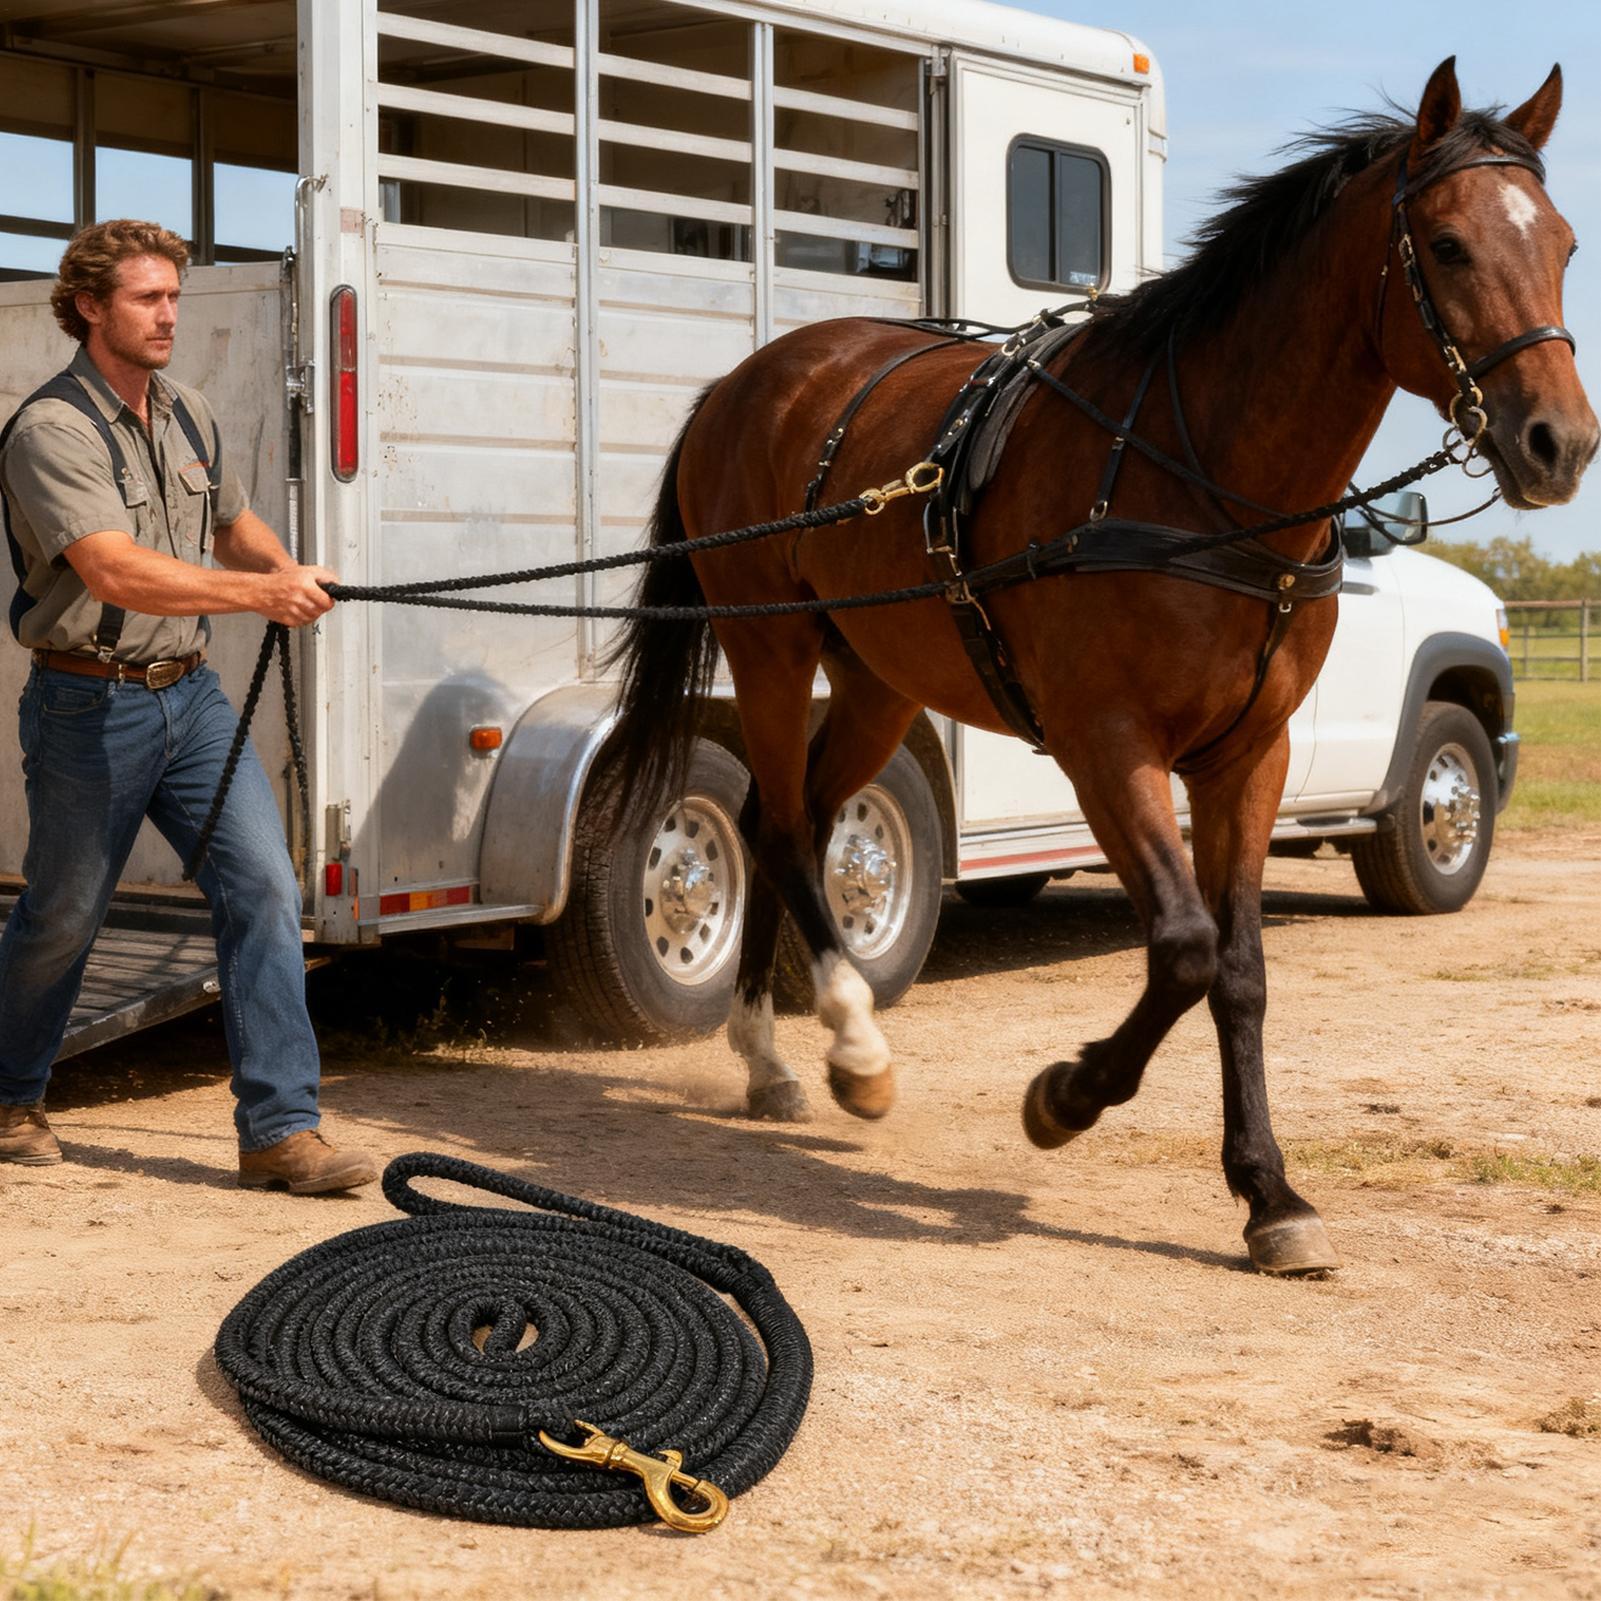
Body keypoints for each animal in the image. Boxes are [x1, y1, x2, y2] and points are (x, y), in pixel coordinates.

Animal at [597, 59, 1596, 1275]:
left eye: (1562, 245)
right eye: (1446, 245)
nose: (1559, 443)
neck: (1203, 477)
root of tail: (749, 379)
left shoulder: (1246, 760)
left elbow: (1239, 970)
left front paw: (1269, 1193)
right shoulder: (1105, 746)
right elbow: (1182, 948)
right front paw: (1064, 1096)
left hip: (877, 678)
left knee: (792, 819)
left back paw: (775, 1056)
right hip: (773, 649)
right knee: (782, 826)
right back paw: (850, 1048)